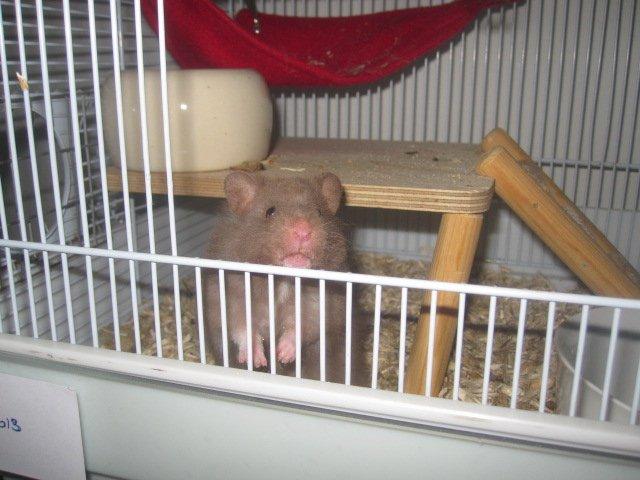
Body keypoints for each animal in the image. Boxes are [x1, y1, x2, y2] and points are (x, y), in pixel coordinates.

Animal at [203, 170, 354, 382]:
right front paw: (258, 361)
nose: (303, 231)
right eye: (270, 211)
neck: (281, 279)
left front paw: (282, 355)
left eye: (319, 212)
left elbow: (304, 323)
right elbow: (241, 325)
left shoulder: (322, 301)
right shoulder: (229, 293)